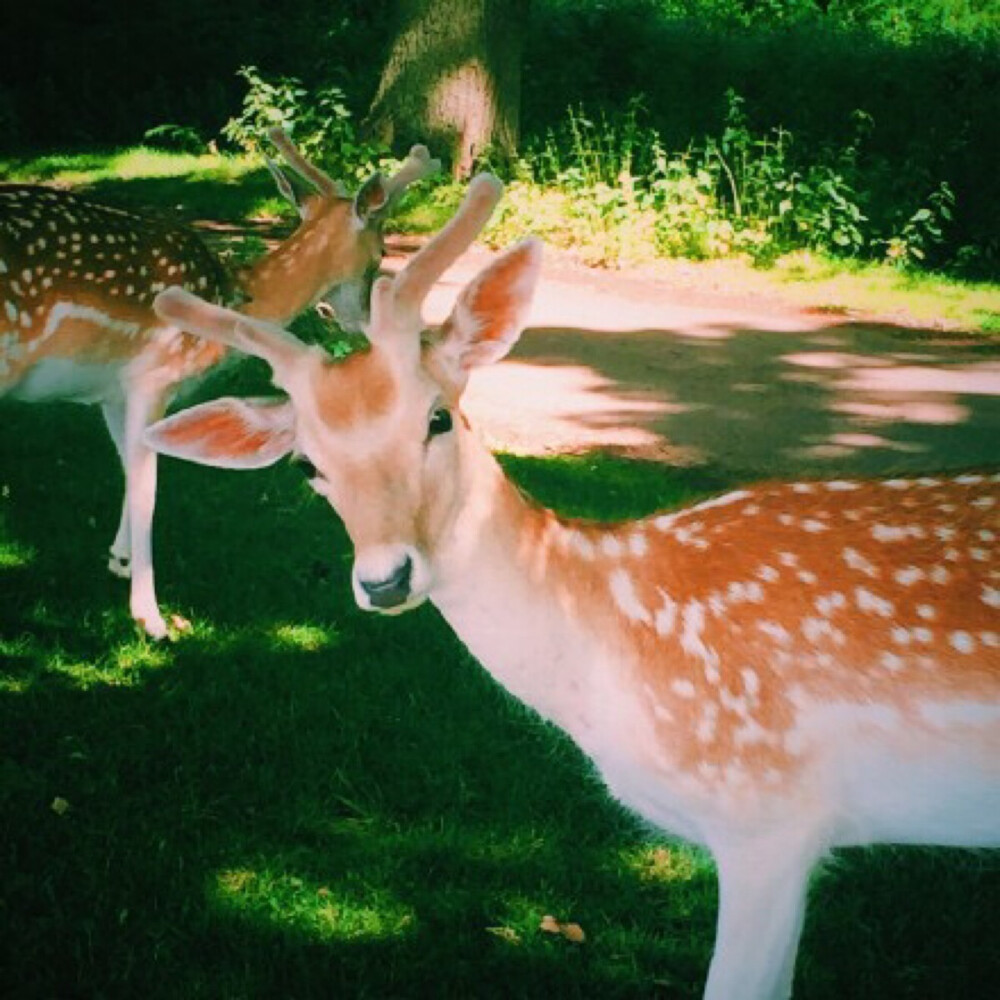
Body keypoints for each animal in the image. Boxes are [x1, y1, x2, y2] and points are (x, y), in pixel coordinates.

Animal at [0, 131, 438, 640]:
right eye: (382, 252)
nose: (362, 322)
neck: (231, 301)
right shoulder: (155, 375)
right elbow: (149, 487)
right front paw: (151, 617)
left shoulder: (112, 389)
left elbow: (127, 468)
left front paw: (119, 560)